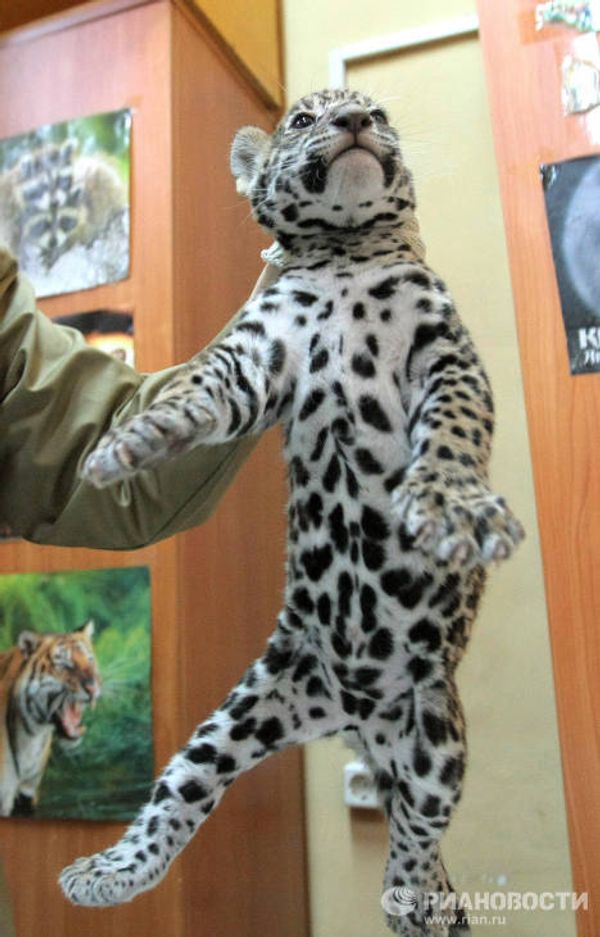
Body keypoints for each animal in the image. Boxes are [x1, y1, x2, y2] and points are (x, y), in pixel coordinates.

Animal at [59, 89, 524, 936]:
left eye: (376, 111)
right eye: (305, 119)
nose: (355, 122)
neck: (345, 255)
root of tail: (356, 717)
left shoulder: (446, 355)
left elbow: (452, 432)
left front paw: (451, 504)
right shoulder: (251, 361)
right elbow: (189, 392)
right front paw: (121, 445)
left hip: (437, 732)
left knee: (417, 833)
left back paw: (409, 896)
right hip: (239, 716)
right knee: (179, 793)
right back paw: (106, 872)